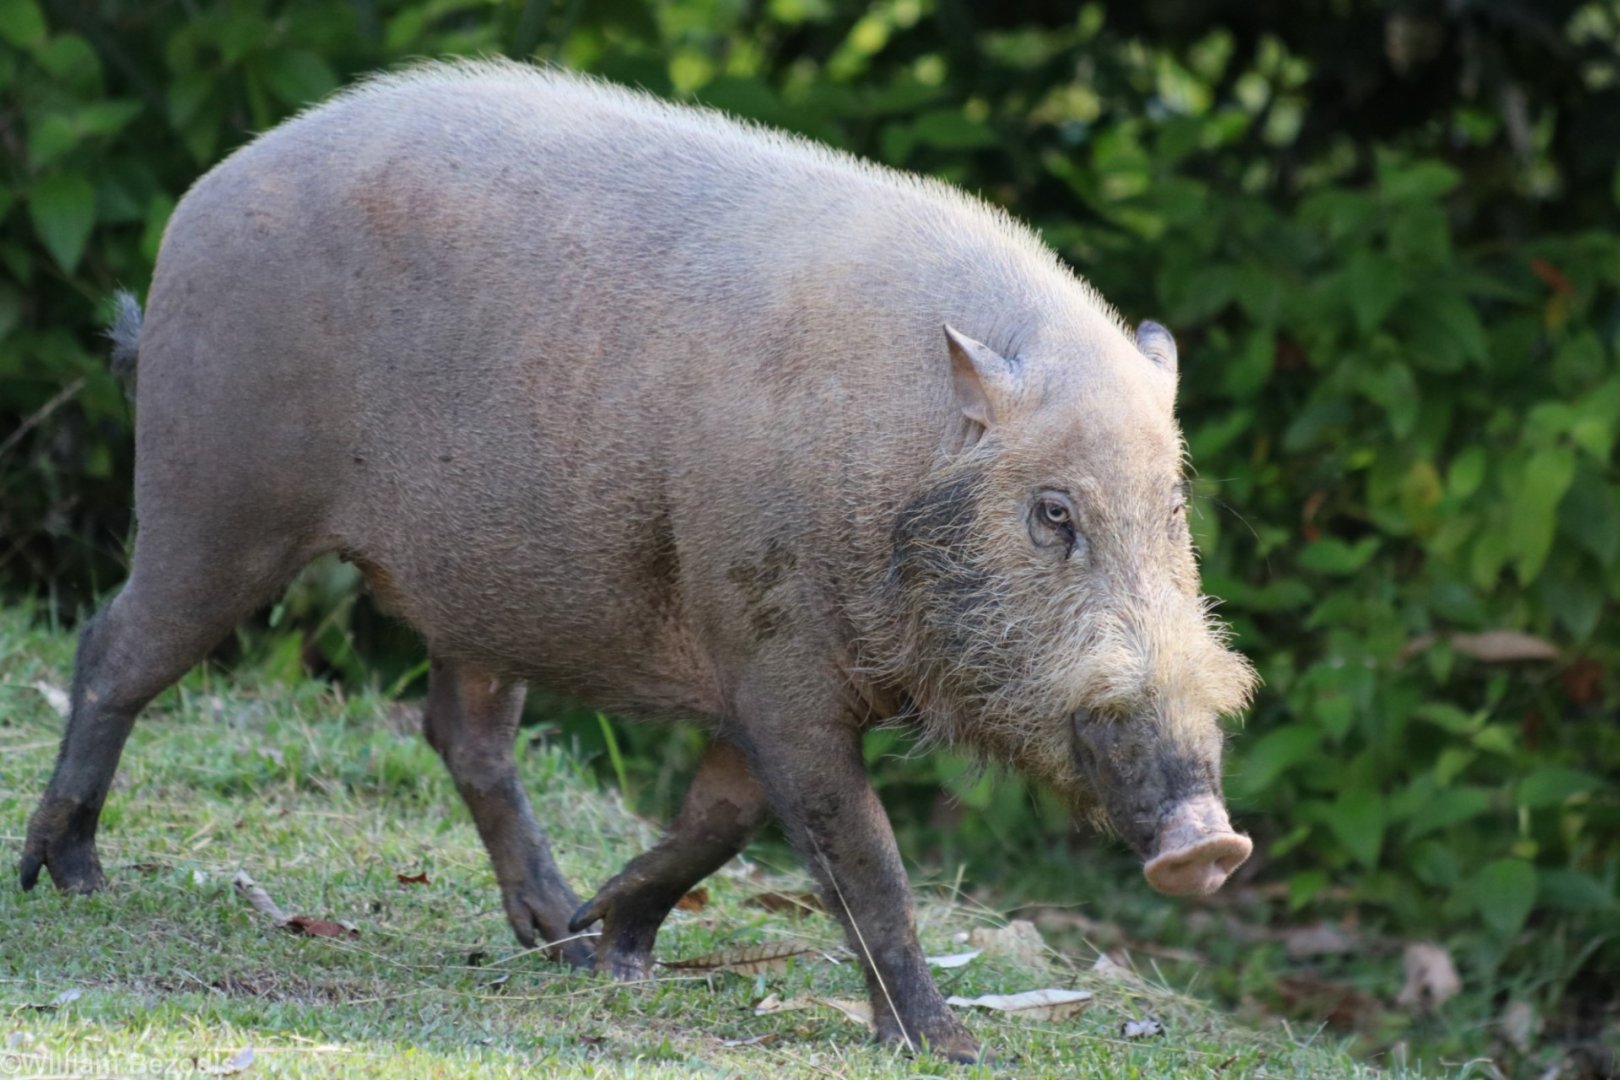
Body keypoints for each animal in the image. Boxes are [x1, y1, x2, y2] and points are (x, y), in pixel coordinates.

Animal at [19, 60, 1256, 1062]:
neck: (890, 465)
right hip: (214, 495)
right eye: (1053, 513)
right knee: (113, 646)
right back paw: (66, 879)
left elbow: (724, 822)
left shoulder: (756, 678)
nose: (1211, 843)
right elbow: (857, 853)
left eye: (1174, 503)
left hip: (477, 587)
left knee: (462, 732)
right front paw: (947, 1045)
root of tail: (201, 203)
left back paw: (553, 937)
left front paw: (615, 945)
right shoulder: (774, 657)